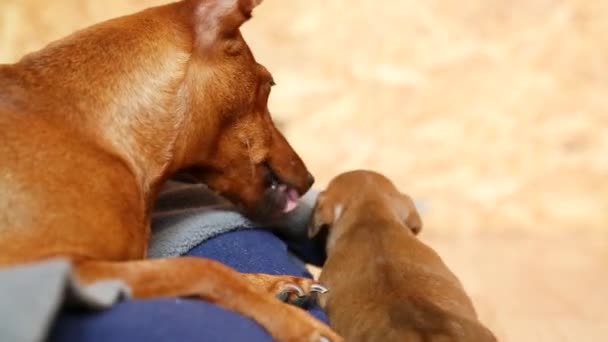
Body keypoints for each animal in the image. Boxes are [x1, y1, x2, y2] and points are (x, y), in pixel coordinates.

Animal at [0, 0, 342, 342]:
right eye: (270, 84)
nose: (310, 179)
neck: (97, 131)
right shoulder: (57, 268)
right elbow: (203, 267)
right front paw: (299, 324)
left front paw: (271, 284)